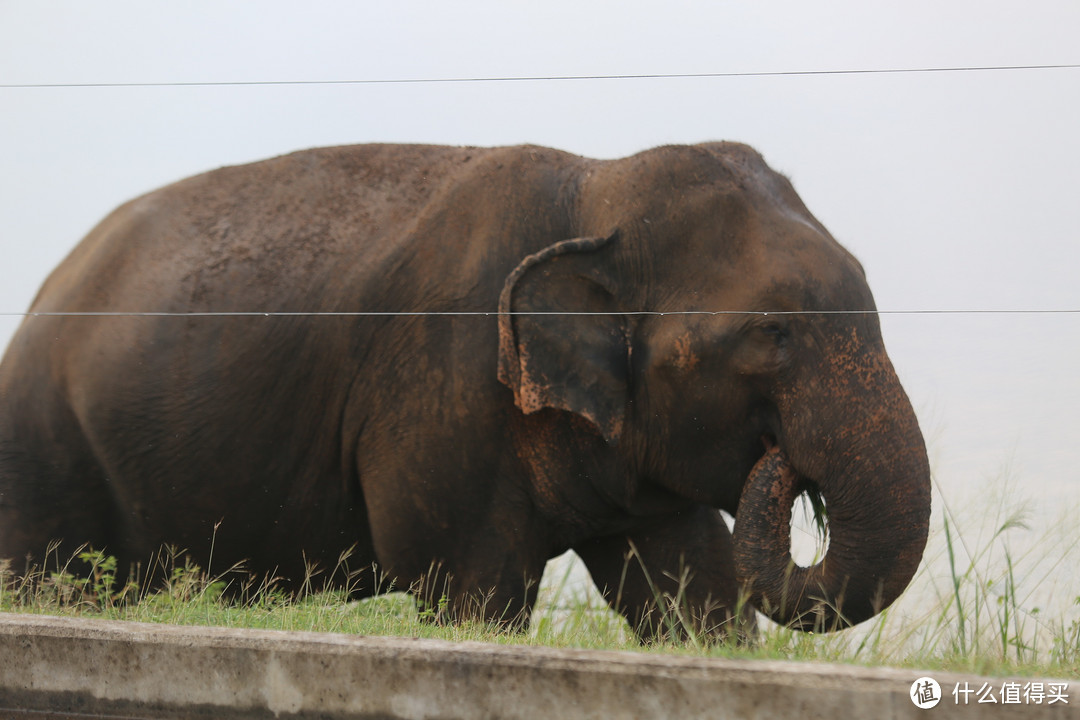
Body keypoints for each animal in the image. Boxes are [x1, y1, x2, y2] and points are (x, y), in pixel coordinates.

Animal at [0, 143, 928, 639]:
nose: (782, 467)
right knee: (46, 575)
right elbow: (467, 587)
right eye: (771, 333)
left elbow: (689, 587)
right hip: (42, 447)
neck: (594, 187)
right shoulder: (442, 386)